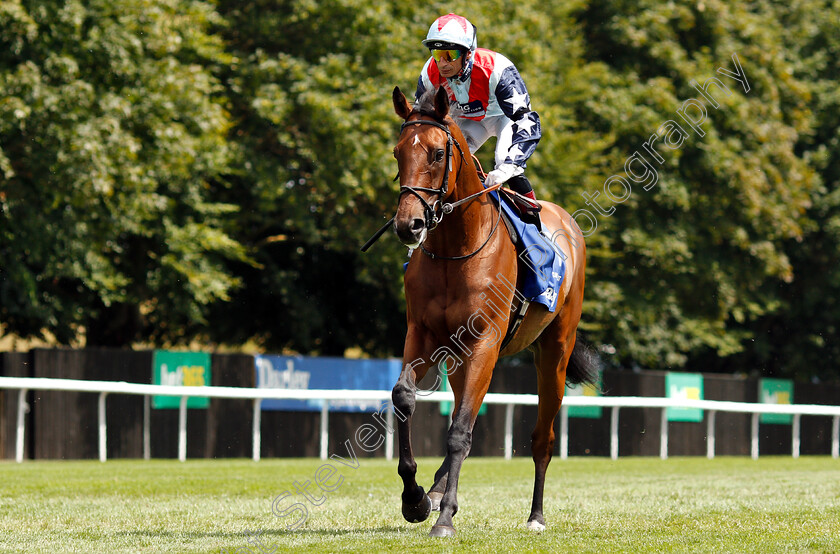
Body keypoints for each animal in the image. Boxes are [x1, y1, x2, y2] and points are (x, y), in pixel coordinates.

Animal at [388, 85, 596, 536]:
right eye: (397, 152)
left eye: (436, 153)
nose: (408, 225)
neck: (455, 249)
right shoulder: (422, 334)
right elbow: (404, 398)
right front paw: (415, 499)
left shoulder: (485, 339)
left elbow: (459, 432)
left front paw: (444, 517)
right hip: (462, 358)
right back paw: (434, 490)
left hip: (554, 351)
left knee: (541, 438)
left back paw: (535, 516)